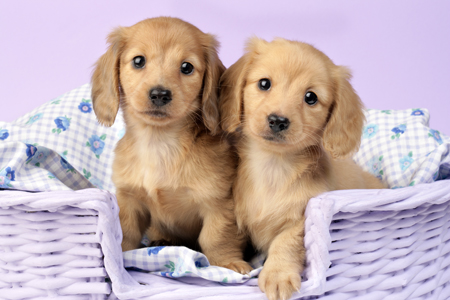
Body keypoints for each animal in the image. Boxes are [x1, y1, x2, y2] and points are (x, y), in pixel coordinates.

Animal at [91, 17, 253, 274]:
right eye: (138, 61)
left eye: (187, 67)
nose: (159, 94)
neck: (160, 144)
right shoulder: (129, 200)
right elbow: (126, 234)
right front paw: (121, 257)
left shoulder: (218, 204)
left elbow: (216, 237)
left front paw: (226, 263)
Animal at [220, 38, 384, 300]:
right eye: (264, 83)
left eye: (311, 97)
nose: (278, 120)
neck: (273, 167)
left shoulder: (300, 220)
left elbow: (286, 243)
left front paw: (277, 274)